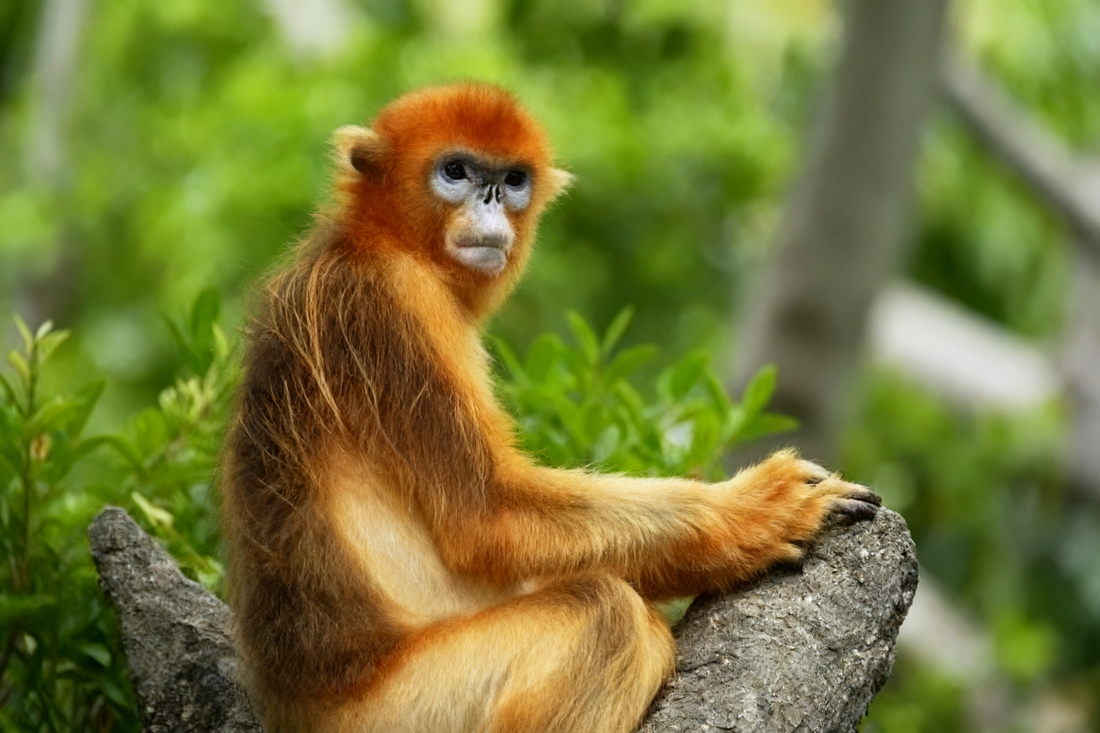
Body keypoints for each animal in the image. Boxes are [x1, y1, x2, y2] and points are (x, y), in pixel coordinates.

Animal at [221, 83, 881, 733]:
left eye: (513, 179)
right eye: (455, 171)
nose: (491, 199)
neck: (376, 243)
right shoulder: (397, 307)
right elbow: (490, 519)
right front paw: (763, 511)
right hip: (400, 711)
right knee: (605, 612)